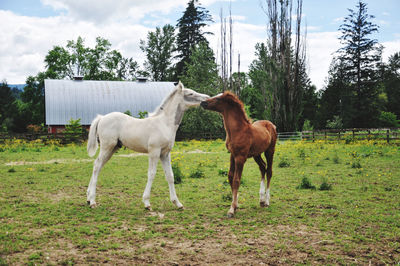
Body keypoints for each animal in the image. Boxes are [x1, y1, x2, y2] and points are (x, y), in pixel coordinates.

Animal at [85, 81, 209, 210]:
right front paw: (147, 203)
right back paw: (93, 201)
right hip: (107, 146)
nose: (207, 98)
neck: (164, 124)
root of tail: (102, 118)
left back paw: (88, 198)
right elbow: (151, 174)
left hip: (112, 148)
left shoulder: (165, 153)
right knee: (97, 165)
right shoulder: (154, 151)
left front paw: (177, 203)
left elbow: (170, 175)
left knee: (98, 165)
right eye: (190, 93)